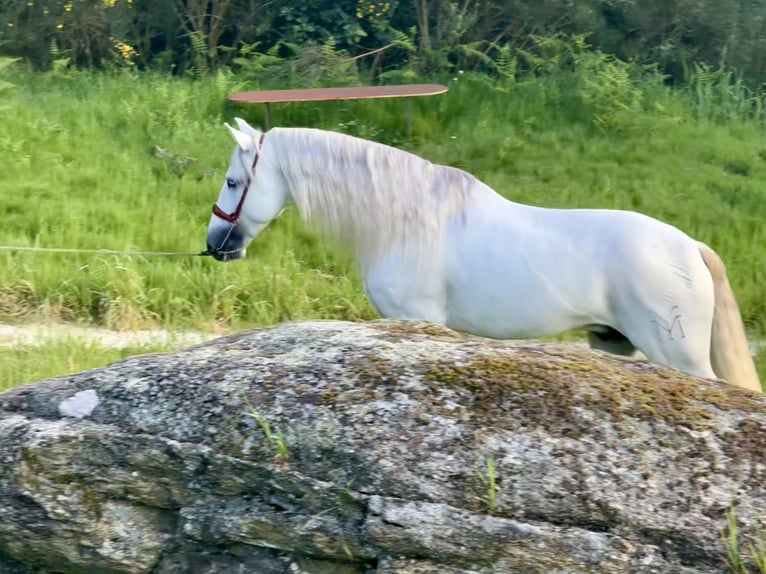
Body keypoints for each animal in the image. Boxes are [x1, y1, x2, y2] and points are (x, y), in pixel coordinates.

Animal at [207, 118, 764, 396]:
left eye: (234, 181)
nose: (216, 244)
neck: (406, 220)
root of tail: (690, 247)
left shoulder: (421, 321)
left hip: (679, 356)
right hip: (614, 344)